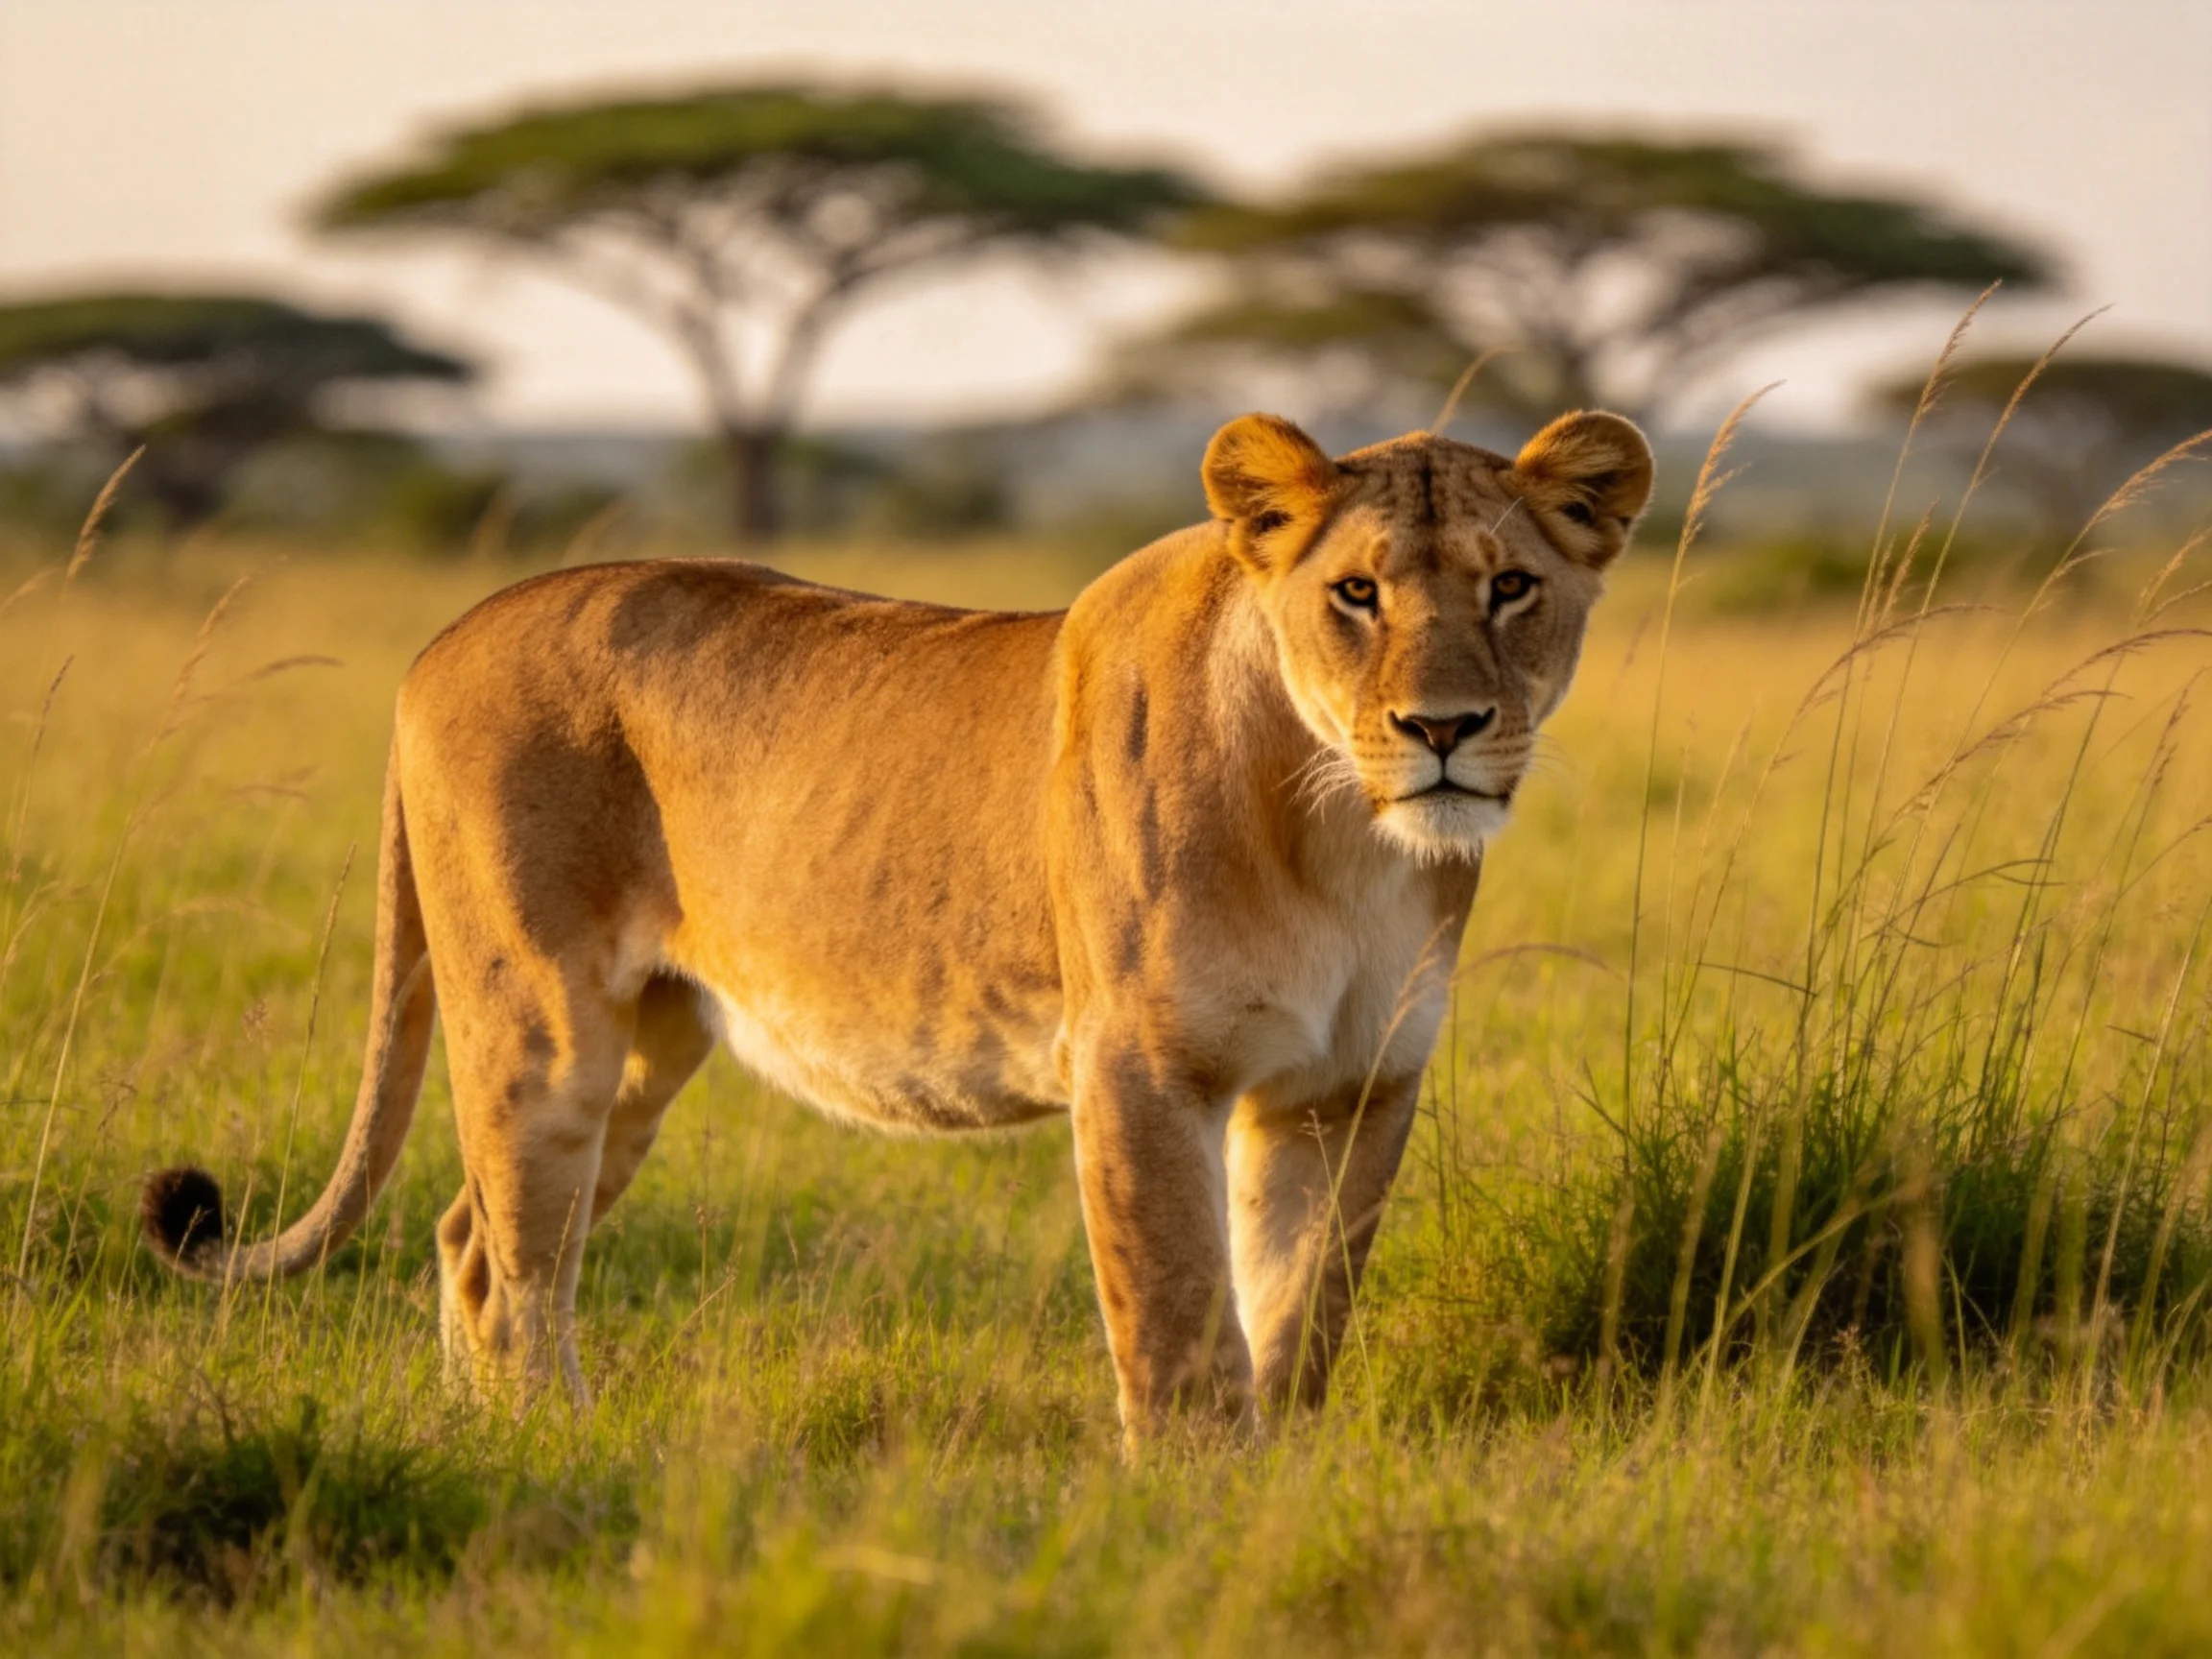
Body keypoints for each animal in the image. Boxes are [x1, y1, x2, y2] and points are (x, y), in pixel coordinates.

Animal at [142, 409, 1652, 1446]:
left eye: (1511, 587)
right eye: (1357, 594)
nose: (1444, 729)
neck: (1345, 832)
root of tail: (441, 636)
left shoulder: (1352, 1086)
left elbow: (1296, 1315)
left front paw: (1269, 1484)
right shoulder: (1140, 1066)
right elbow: (1176, 1318)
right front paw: (1193, 1504)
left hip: (644, 1051)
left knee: (474, 1238)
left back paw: (496, 1440)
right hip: (539, 1024)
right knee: (515, 1267)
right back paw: (543, 1453)